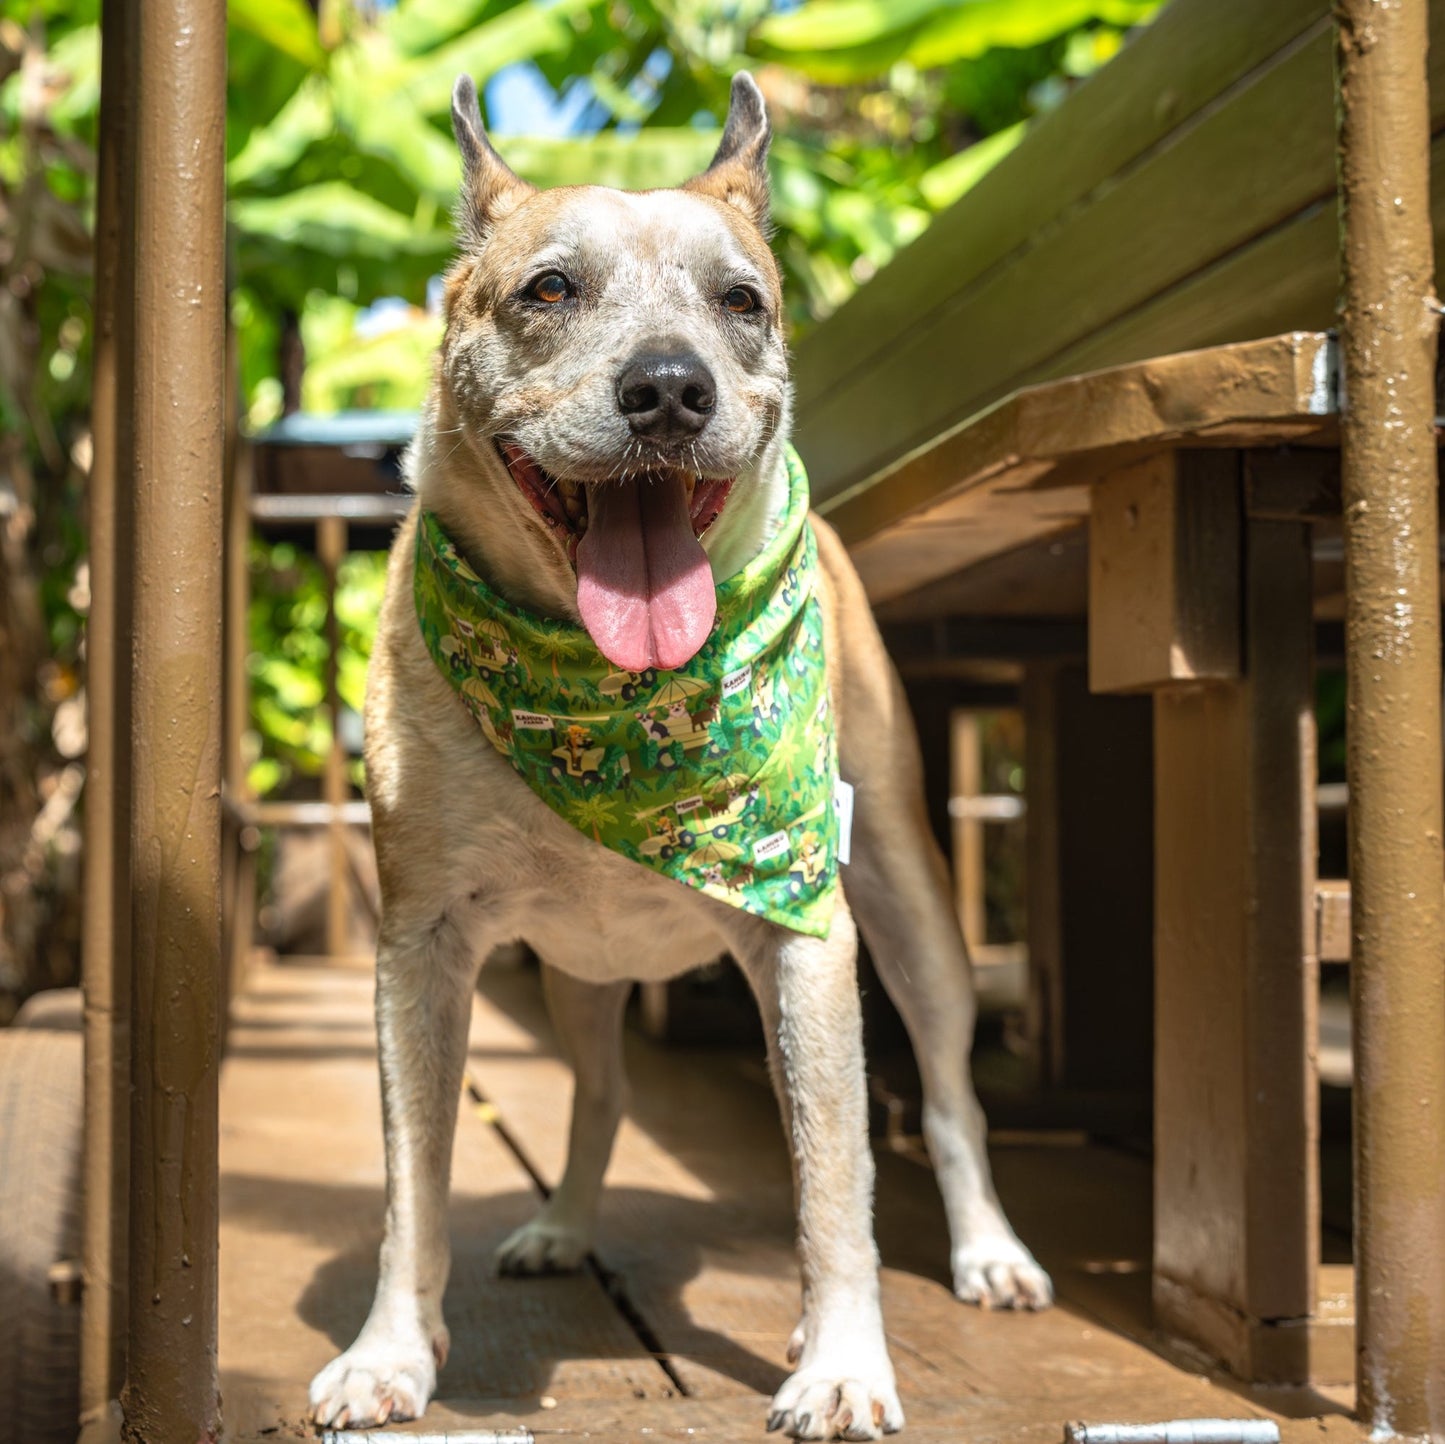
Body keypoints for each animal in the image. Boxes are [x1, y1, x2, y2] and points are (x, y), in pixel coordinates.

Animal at [307, 73, 1051, 1439]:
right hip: (573, 971)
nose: (667, 389)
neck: (611, 703)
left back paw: (986, 1252)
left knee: (946, 1092)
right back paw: (562, 1222)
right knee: (601, 1094)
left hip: (910, 902)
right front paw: (390, 1351)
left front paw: (842, 1362)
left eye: (740, 301)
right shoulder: (419, 948)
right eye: (548, 288)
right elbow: (411, 1179)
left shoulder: (807, 942)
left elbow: (832, 1176)